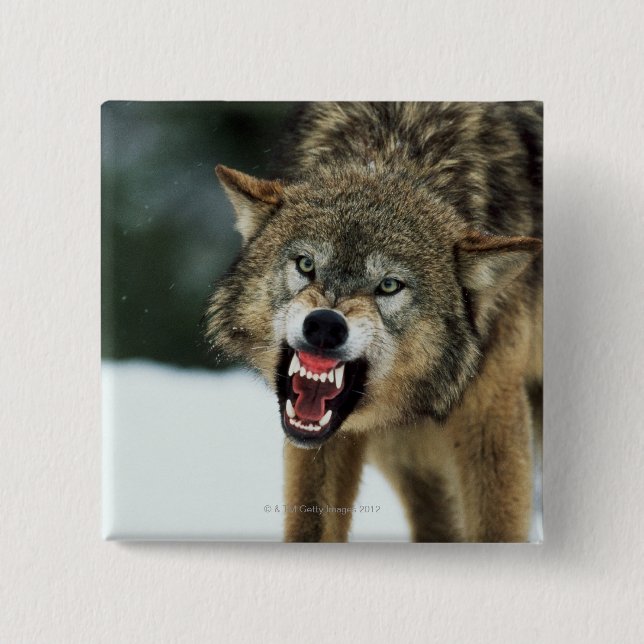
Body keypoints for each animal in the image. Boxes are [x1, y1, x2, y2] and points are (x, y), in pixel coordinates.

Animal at [205, 102, 542, 542]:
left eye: (389, 285)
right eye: (306, 264)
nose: (325, 325)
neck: (396, 146)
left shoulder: (492, 413)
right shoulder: (328, 438)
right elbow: (311, 526)